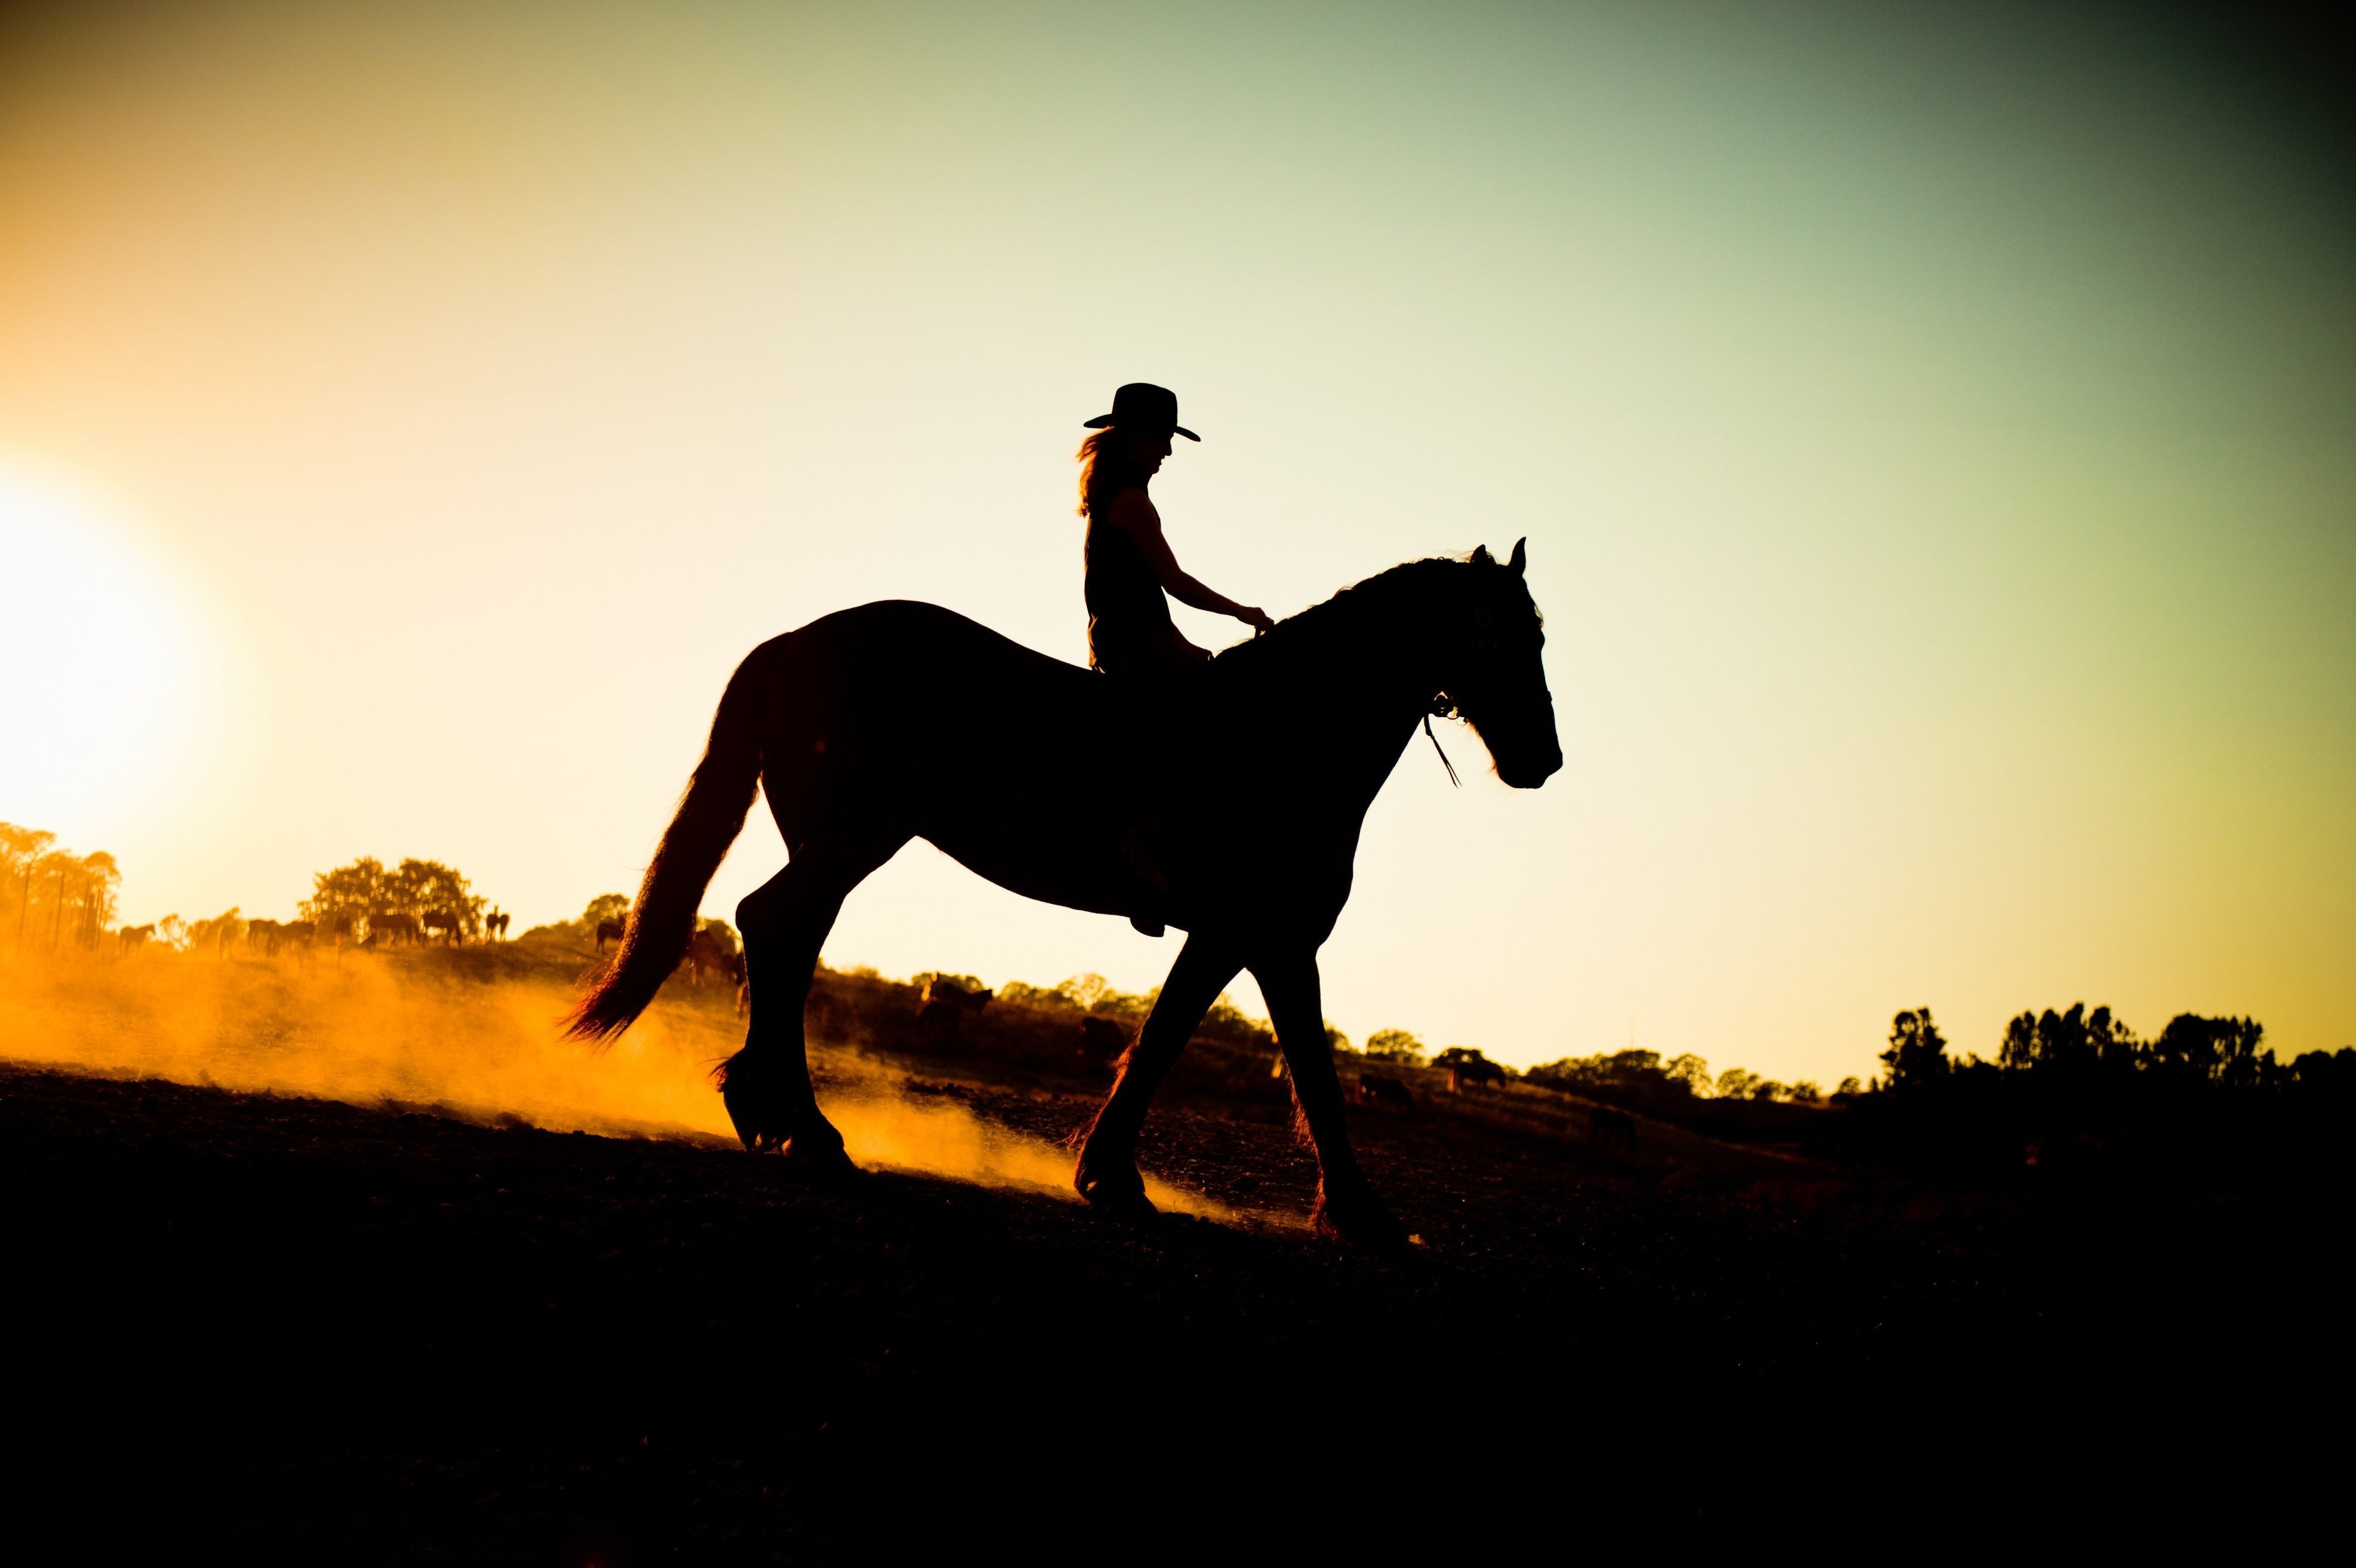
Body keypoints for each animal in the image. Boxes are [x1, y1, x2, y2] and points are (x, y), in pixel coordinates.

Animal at [565, 544, 1564, 1243]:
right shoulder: (1272, 938)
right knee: (776, 929)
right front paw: (1362, 1217)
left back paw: (767, 1113)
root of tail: (801, 640)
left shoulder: (1232, 938)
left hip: (836, 842)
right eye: (1513, 636)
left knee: (784, 939)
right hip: (857, 836)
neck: (1294, 736)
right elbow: (1309, 1075)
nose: (1543, 760)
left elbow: (1164, 1042)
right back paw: (805, 1129)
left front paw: (1111, 1178)